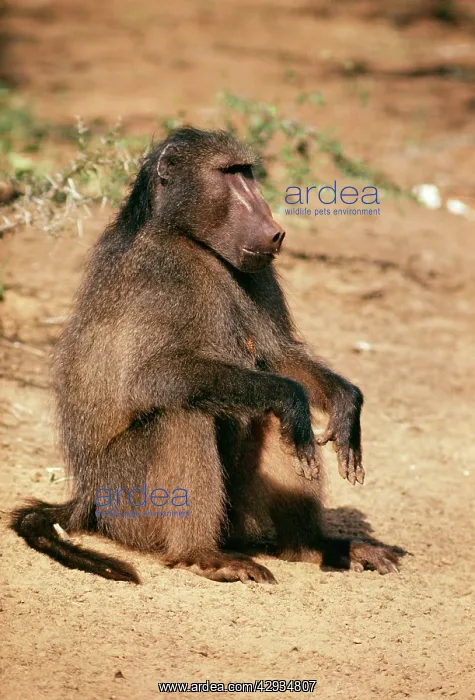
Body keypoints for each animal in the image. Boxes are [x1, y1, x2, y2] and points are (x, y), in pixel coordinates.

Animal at [10, 127, 399, 584]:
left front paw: (345, 404)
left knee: (273, 423)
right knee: (184, 413)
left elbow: (278, 358)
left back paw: (313, 547)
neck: (190, 240)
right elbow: (152, 377)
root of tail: (86, 496)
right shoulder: (160, 270)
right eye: (228, 173)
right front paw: (293, 399)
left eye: (247, 172)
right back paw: (200, 555)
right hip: (125, 503)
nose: (274, 231)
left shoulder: (258, 273)